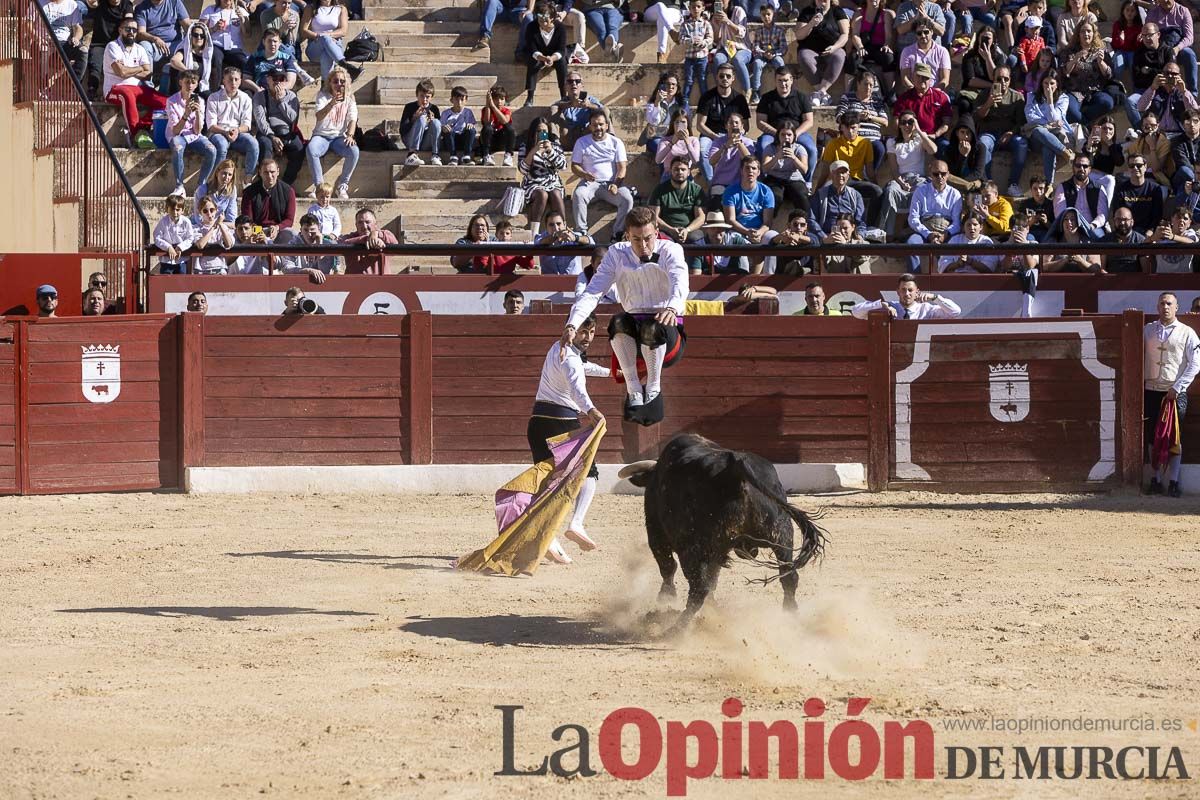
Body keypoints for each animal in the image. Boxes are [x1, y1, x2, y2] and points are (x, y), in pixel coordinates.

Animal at [619, 434, 825, 628]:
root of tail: (735, 469)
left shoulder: (656, 533)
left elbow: (668, 566)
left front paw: (666, 597)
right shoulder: (719, 550)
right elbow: (713, 578)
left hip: (692, 547)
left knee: (698, 588)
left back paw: (676, 629)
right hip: (782, 534)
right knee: (789, 577)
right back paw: (790, 615)